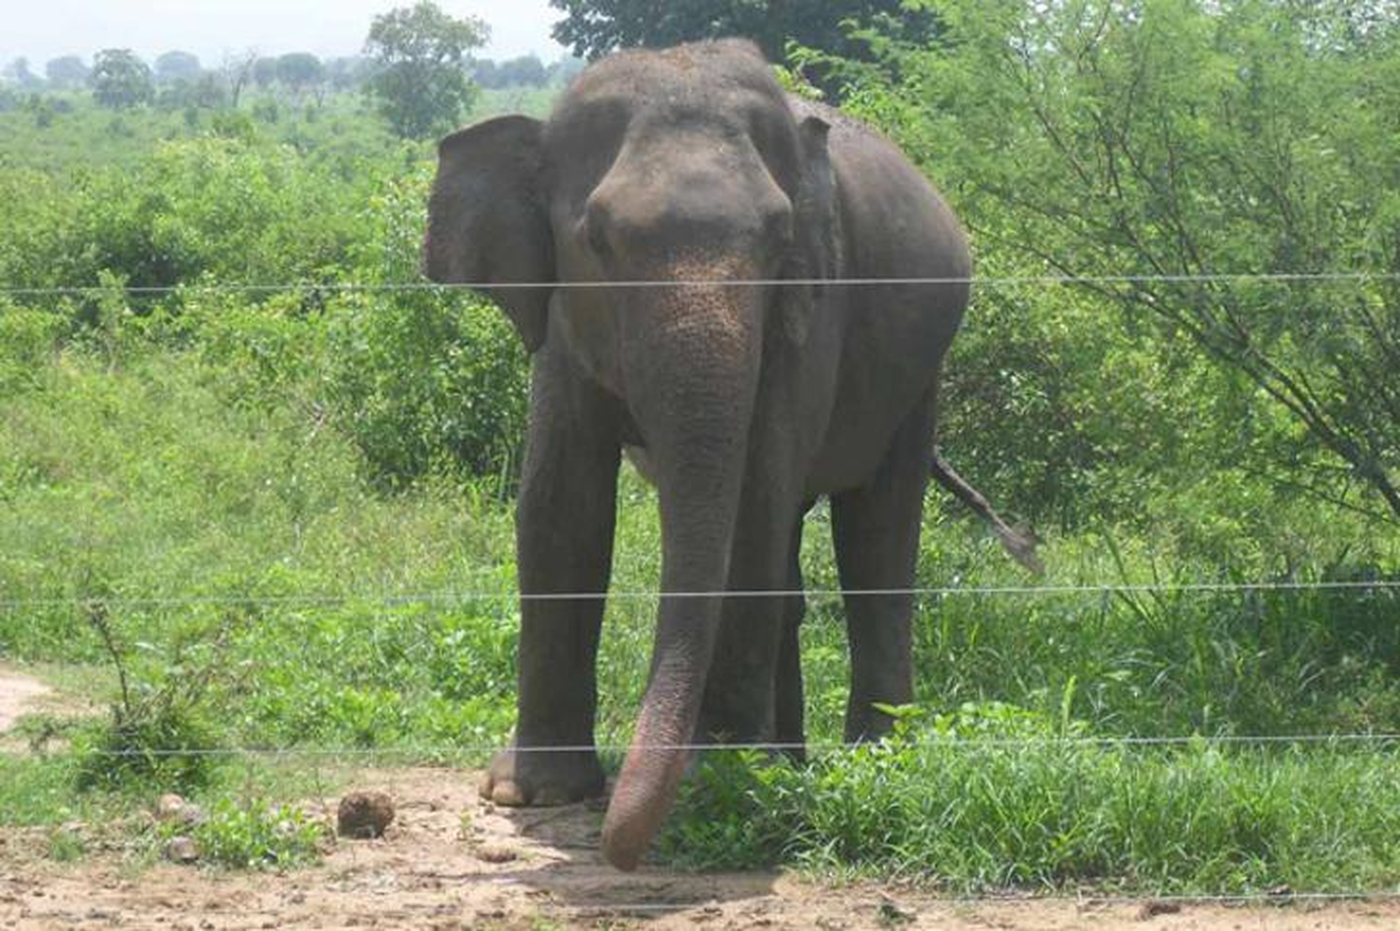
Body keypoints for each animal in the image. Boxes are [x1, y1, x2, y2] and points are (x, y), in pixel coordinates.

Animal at [423, 39, 1036, 871]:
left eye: (780, 237)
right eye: (597, 240)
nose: (618, 851)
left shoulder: (809, 308)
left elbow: (751, 499)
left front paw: (719, 783)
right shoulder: (561, 326)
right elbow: (561, 505)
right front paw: (531, 794)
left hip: (919, 375)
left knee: (877, 536)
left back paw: (866, 757)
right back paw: (791, 760)